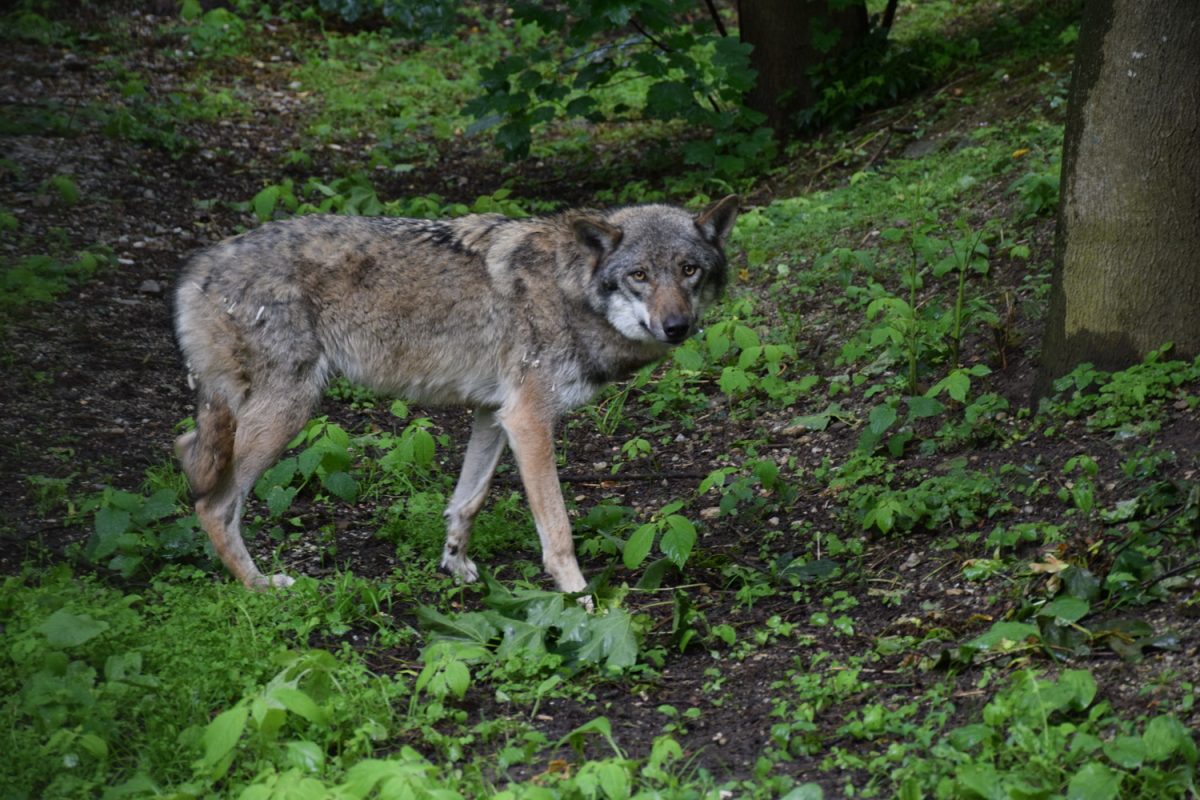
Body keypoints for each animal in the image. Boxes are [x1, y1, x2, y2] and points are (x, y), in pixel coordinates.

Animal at [172, 196, 734, 599]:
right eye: (639, 275)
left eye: (689, 270)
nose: (677, 326)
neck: (568, 289)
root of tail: (196, 268)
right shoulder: (530, 420)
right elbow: (558, 530)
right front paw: (580, 599)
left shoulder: (496, 414)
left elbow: (468, 500)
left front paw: (456, 563)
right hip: (285, 417)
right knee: (215, 506)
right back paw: (259, 585)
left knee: (184, 448)